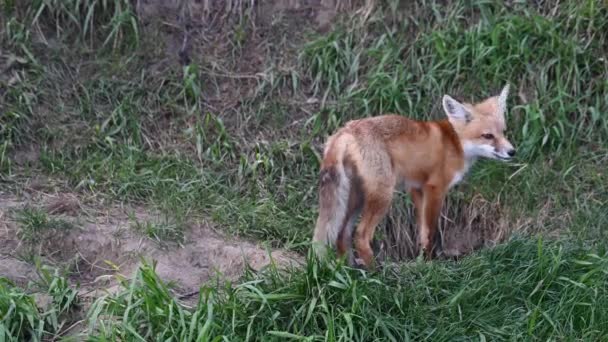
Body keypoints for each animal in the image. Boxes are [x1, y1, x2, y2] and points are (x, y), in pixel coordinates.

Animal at [314, 84, 516, 268]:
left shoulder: (416, 188)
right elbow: (432, 231)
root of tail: (345, 130)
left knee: (342, 234)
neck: (455, 144)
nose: (512, 152)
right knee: (360, 236)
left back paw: (351, 271)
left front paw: (423, 260)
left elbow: (422, 231)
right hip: (382, 195)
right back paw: (375, 272)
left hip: (357, 197)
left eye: (503, 132)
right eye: (488, 136)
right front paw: (431, 263)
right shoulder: (435, 188)